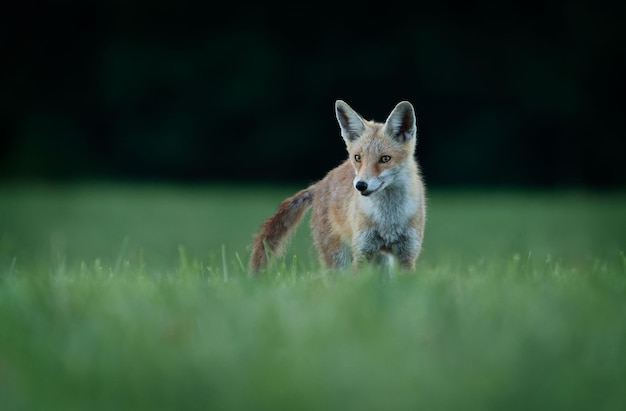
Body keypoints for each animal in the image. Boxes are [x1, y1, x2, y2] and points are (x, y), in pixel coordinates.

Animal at [249, 100, 424, 274]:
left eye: (385, 159)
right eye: (357, 157)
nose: (360, 185)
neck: (388, 220)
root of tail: (320, 183)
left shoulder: (407, 254)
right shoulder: (363, 251)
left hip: (380, 261)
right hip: (338, 259)